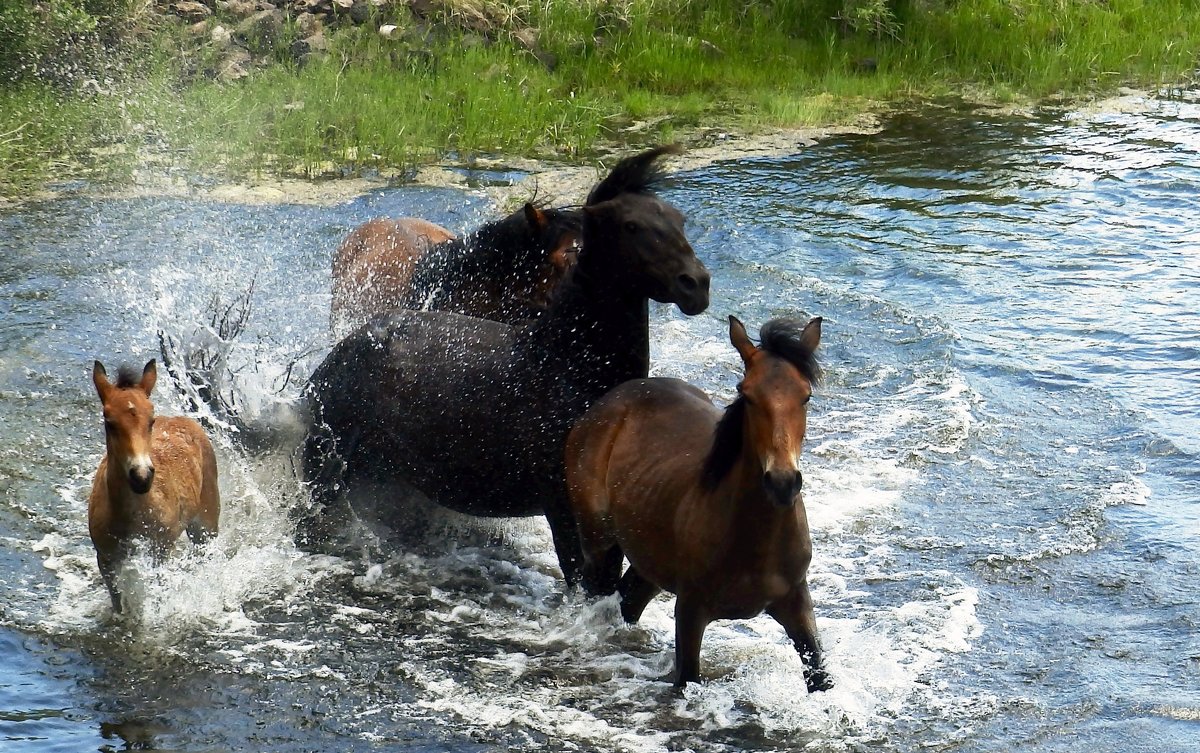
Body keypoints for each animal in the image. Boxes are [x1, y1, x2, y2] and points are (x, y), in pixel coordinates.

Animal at [90, 359, 222, 611]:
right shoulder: (106, 558)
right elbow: (118, 603)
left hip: (206, 526)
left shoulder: (159, 553)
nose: (141, 477)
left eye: (150, 421)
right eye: (109, 423)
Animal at [564, 314, 835, 690]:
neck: (754, 543)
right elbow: (687, 678)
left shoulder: (796, 602)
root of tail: (608, 403)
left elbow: (819, 676)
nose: (782, 482)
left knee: (628, 601)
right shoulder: (690, 609)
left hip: (649, 564)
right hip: (597, 542)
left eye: (806, 396)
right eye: (746, 394)